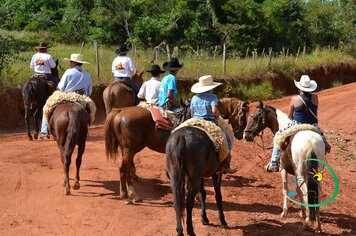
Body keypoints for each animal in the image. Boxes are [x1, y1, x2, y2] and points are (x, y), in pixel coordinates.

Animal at [101, 98, 249, 204]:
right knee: (123, 169)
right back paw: (126, 196)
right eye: (243, 116)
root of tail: (120, 111)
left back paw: (133, 195)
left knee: (127, 170)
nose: (241, 135)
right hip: (129, 149)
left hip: (129, 150)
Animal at [243, 100, 324, 233]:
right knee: (317, 193)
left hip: (301, 174)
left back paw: (307, 223)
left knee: (307, 192)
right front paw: (302, 213)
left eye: (254, 117)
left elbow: (285, 189)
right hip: (315, 174)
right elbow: (297, 191)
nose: (246, 135)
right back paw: (317, 225)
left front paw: (285, 212)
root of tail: (311, 143)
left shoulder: (283, 169)